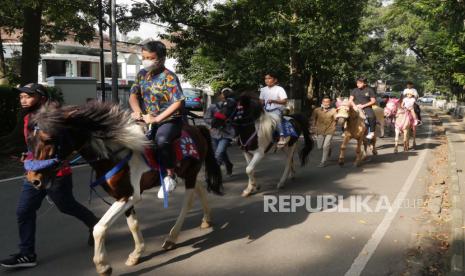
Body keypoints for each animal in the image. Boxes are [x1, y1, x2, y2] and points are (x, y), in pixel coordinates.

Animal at [24, 102, 223, 276]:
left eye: (48, 139)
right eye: (30, 140)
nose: (34, 180)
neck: (113, 154)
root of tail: (198, 129)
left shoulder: (128, 196)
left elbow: (99, 227)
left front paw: (103, 265)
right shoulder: (123, 196)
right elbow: (132, 224)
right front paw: (137, 253)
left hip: (190, 172)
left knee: (188, 202)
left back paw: (172, 237)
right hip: (186, 172)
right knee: (199, 188)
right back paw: (206, 220)